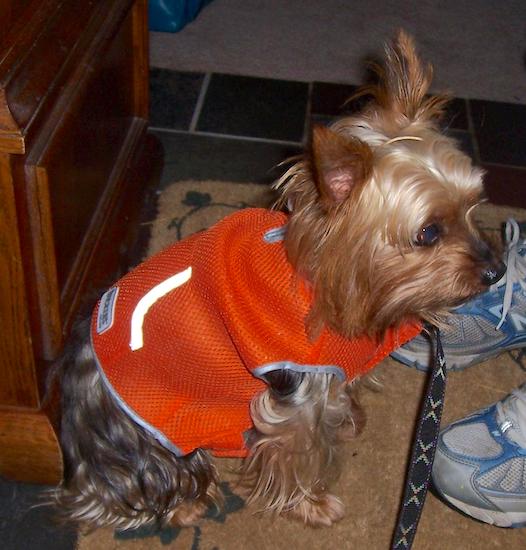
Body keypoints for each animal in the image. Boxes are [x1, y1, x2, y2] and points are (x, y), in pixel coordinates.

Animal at [53, 32, 508, 532]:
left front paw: (349, 416)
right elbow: (297, 449)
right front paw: (310, 504)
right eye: (428, 233)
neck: (329, 282)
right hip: (155, 436)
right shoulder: (293, 398)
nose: (497, 271)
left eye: (474, 204)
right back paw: (185, 506)